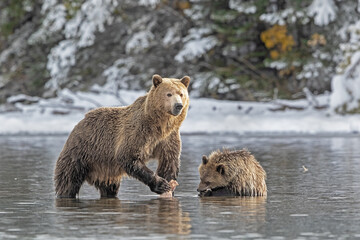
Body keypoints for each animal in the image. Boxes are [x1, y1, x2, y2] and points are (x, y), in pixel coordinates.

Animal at [54, 74, 190, 198]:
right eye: (169, 94)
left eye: (181, 94)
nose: (178, 105)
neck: (160, 126)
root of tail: (79, 122)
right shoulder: (139, 132)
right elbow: (128, 156)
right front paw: (161, 184)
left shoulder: (168, 138)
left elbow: (169, 161)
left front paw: (169, 185)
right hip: (81, 153)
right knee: (68, 180)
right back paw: (65, 194)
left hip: (105, 169)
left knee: (109, 187)